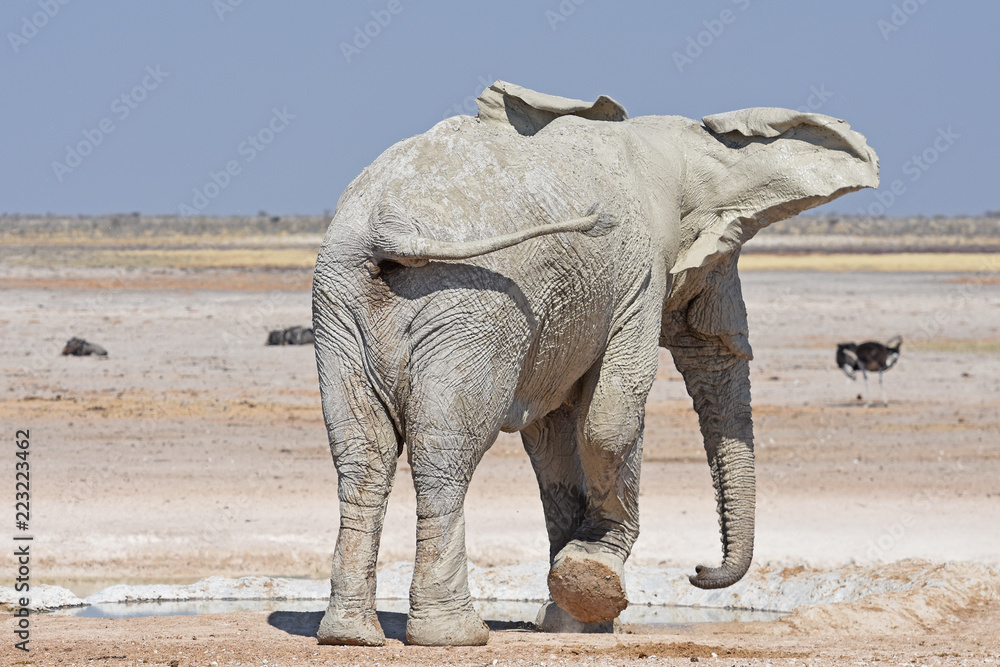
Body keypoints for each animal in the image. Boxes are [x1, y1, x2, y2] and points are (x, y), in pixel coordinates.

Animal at [311, 80, 878, 646]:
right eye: (719, 260)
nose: (698, 571)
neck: (675, 148)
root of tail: (387, 230)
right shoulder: (639, 278)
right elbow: (610, 420)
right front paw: (594, 576)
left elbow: (551, 433)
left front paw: (573, 616)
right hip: (469, 303)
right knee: (447, 448)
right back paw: (455, 635)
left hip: (342, 303)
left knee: (363, 452)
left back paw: (350, 635)